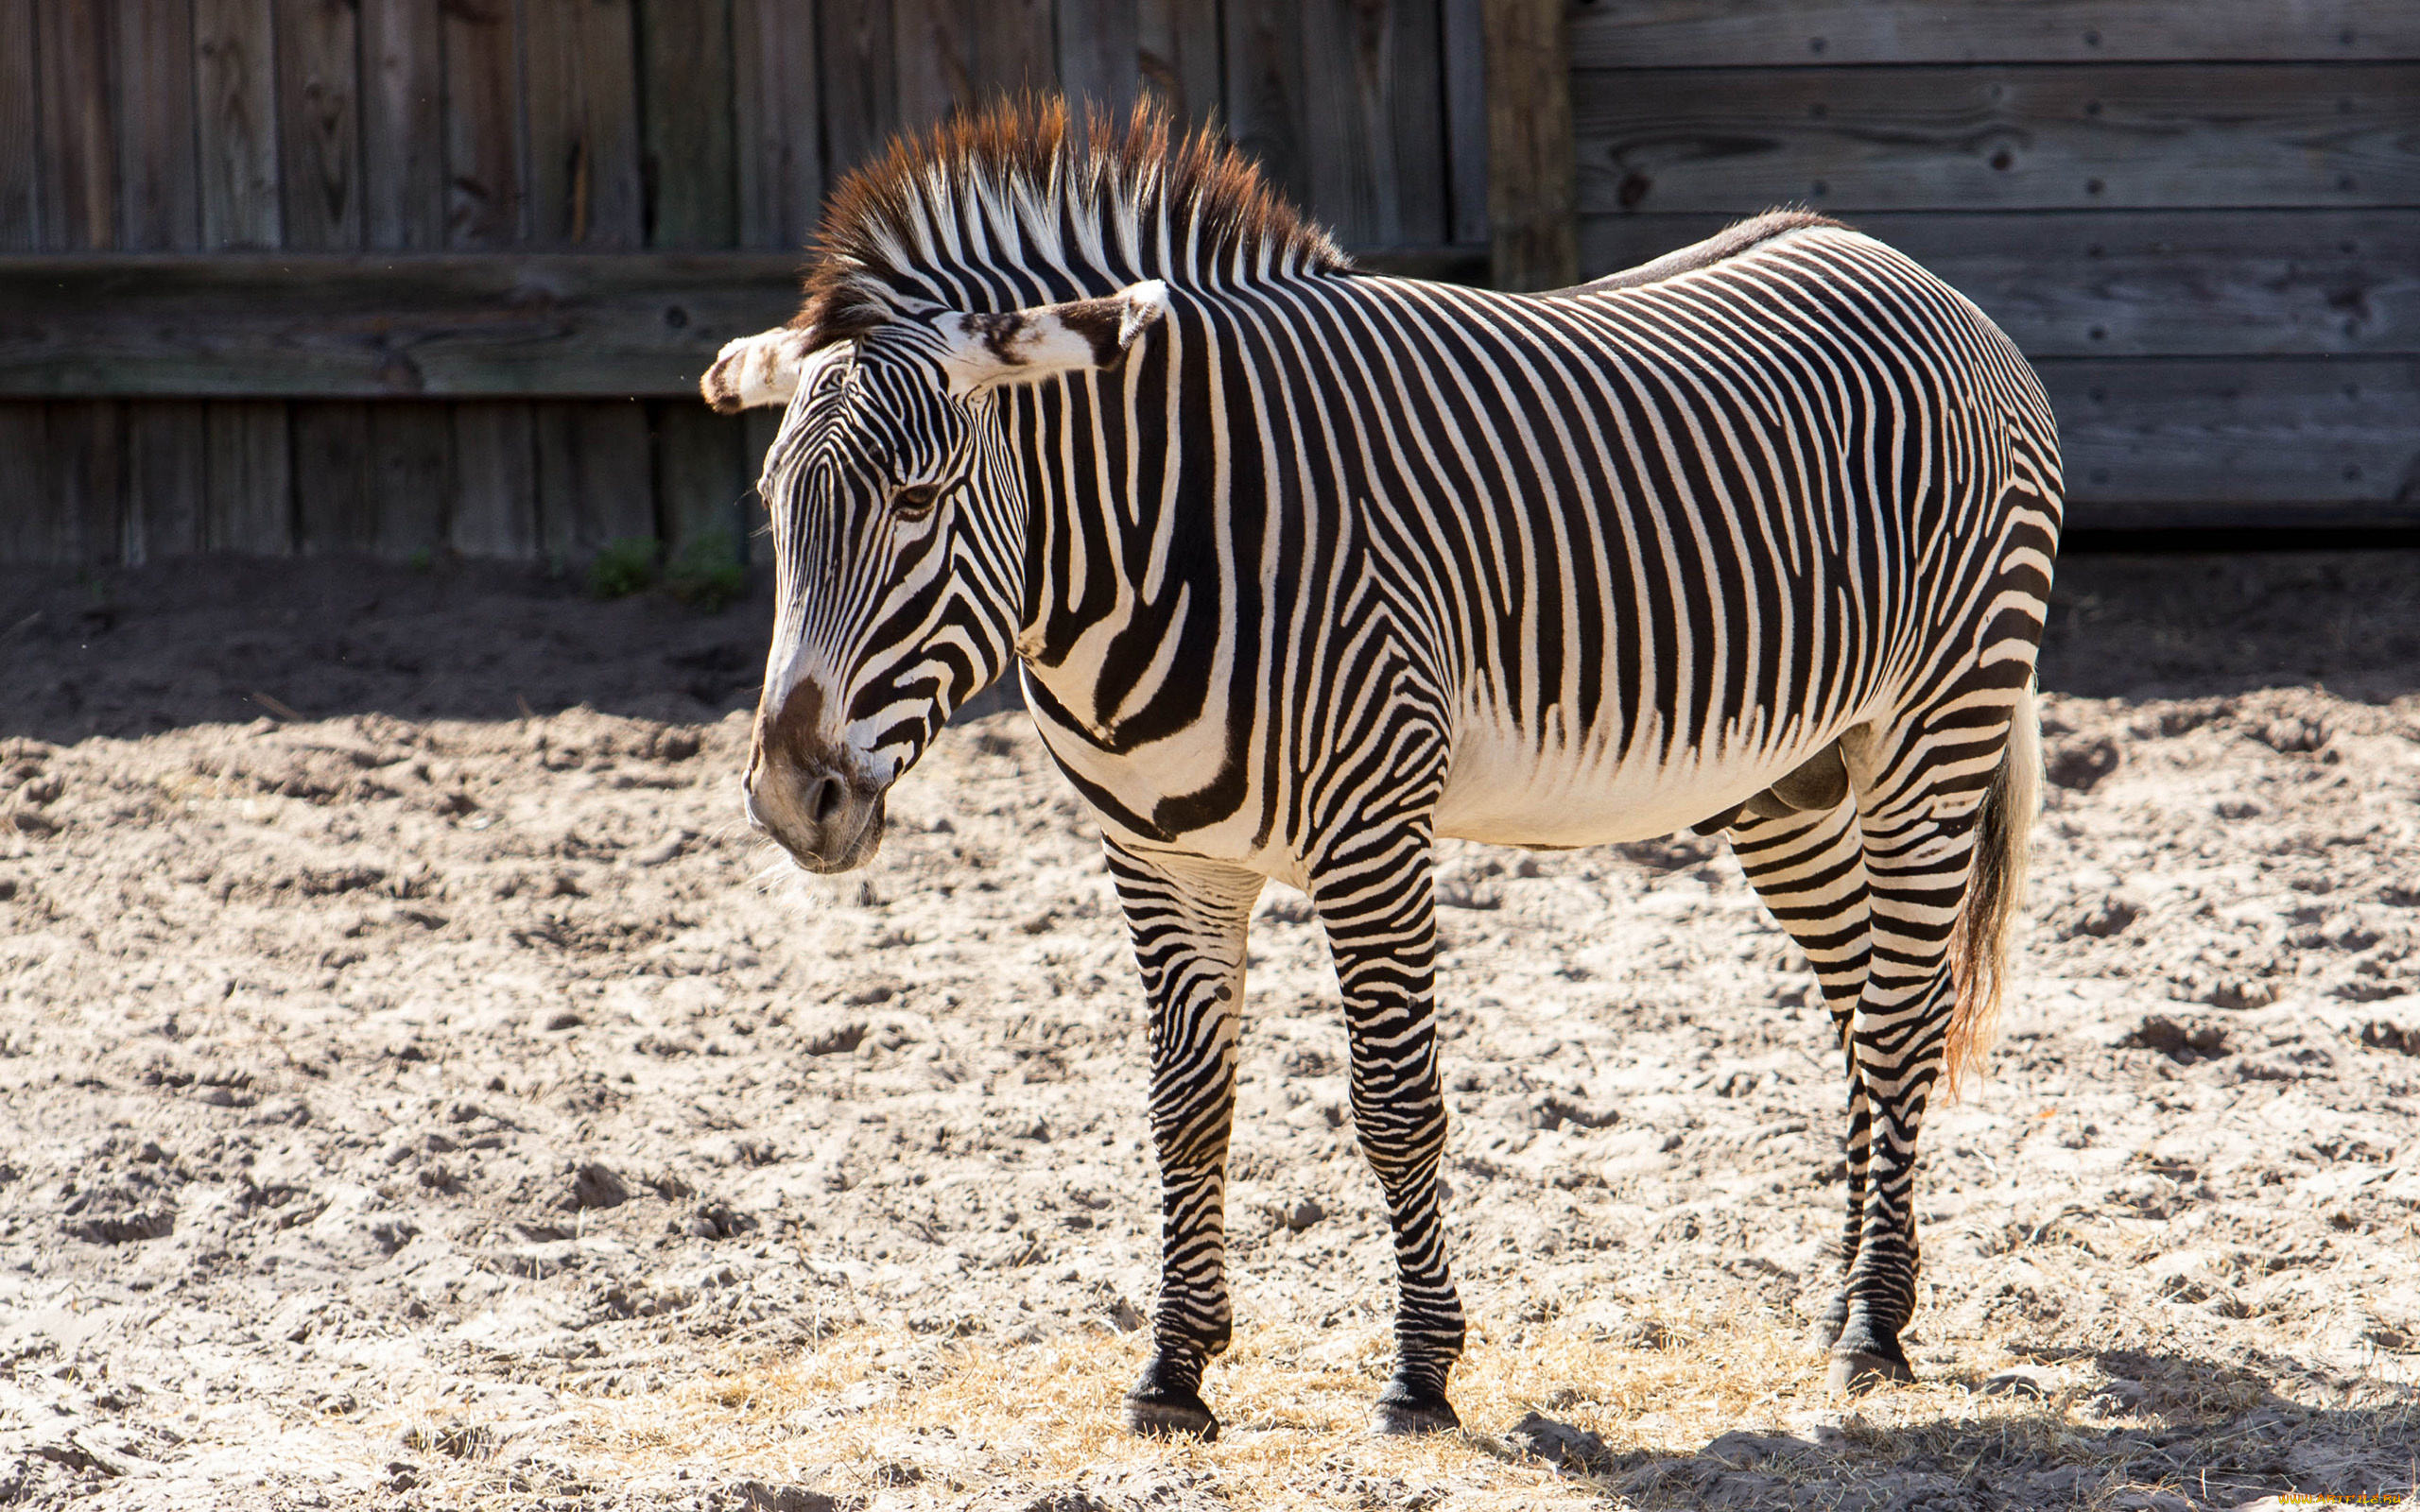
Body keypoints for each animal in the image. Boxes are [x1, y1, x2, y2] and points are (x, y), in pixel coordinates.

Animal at [711, 100, 2062, 1432]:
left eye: (916, 501)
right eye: (773, 503)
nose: (789, 796)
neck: (1164, 546)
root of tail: (1902, 263)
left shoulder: (1371, 834)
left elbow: (1394, 1105)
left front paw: (1419, 1372)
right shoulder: (1159, 853)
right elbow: (1183, 1108)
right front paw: (1174, 1370)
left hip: (1935, 727)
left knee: (1901, 1014)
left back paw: (1872, 1330)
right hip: (1790, 779)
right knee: (1858, 1006)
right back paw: (1848, 1300)